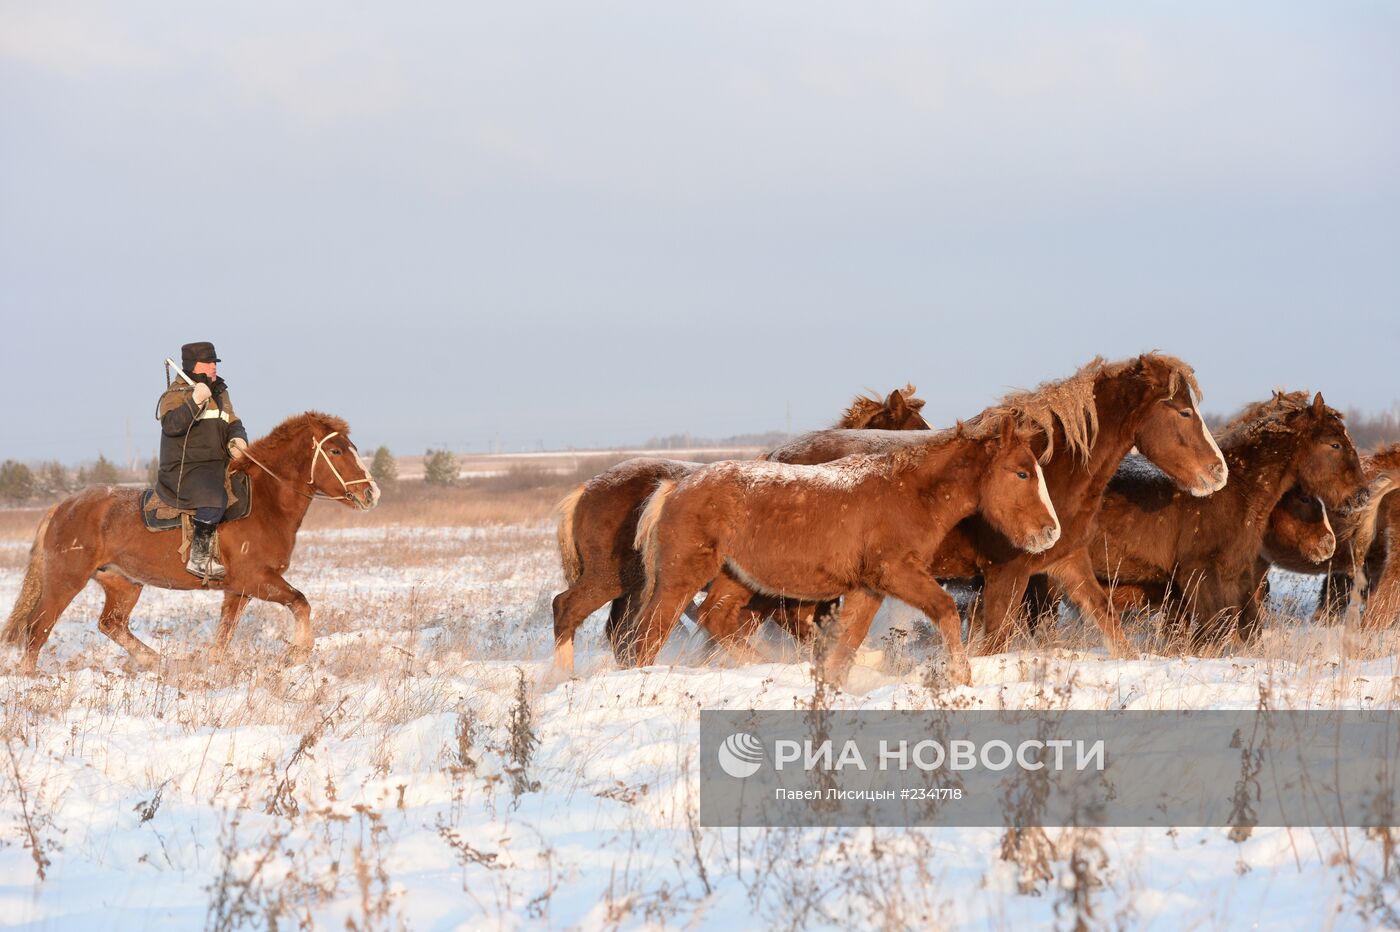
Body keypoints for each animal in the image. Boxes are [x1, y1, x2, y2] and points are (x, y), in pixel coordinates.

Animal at [2, 411, 380, 668]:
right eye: (336, 452)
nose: (371, 493)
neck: (265, 502)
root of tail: (63, 506)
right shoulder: (256, 579)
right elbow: (300, 601)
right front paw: (299, 651)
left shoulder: (238, 589)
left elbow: (224, 635)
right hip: (66, 580)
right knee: (37, 629)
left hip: (124, 583)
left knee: (111, 624)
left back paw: (157, 662)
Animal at [548, 383, 929, 668]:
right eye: (918, 430)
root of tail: (587, 489)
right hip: (613, 577)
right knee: (569, 609)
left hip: (634, 587)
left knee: (620, 632)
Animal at [630, 414, 1052, 682]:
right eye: (1021, 473)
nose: (1050, 531)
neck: (907, 494)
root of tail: (676, 487)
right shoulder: (896, 573)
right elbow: (946, 611)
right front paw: (962, 680)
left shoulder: (869, 588)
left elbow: (847, 640)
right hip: (682, 576)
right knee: (651, 631)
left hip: (739, 578)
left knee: (714, 619)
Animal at [761, 352, 1232, 657]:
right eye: (1183, 411)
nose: (1218, 471)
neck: (1051, 469)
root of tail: (774, 457)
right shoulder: (1007, 572)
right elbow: (995, 643)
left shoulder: (1066, 562)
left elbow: (1107, 621)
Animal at [1086, 389, 1360, 643]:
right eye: (1335, 444)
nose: (1361, 494)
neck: (1238, 489)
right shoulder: (1199, 574)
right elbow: (1214, 626)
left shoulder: (1235, 574)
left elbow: (1246, 626)